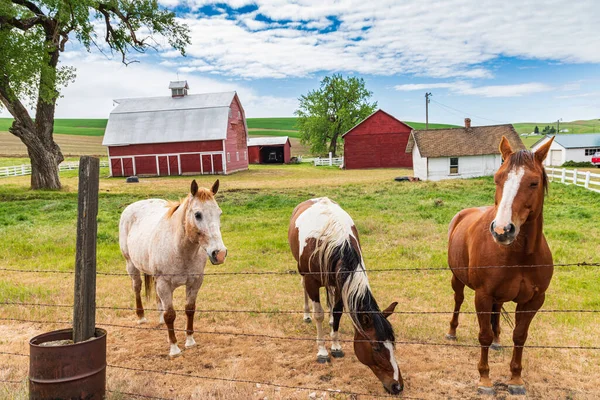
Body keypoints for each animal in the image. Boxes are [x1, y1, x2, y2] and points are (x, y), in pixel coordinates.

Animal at [119, 180, 227, 356]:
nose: (220, 253)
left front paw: (190, 341)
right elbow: (170, 315)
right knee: (137, 287)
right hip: (131, 265)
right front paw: (174, 348)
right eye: (198, 215)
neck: (180, 249)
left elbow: (189, 310)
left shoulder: (195, 282)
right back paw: (141, 317)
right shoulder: (165, 284)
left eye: (219, 213)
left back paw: (159, 319)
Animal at [290, 197, 404, 394]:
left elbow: (337, 313)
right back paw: (306, 315)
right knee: (303, 288)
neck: (335, 242)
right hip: (303, 273)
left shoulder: (340, 283)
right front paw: (322, 351)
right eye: (376, 347)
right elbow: (318, 314)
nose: (397, 385)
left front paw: (335, 346)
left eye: (393, 343)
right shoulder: (312, 281)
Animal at [448, 137, 556, 394]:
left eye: (533, 183)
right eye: (497, 179)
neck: (520, 256)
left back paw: (498, 341)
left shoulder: (533, 301)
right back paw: (452, 332)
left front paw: (516, 379)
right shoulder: (482, 296)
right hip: (457, 280)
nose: (502, 230)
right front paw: (485, 379)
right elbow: (483, 335)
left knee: (497, 313)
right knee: (458, 301)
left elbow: (520, 336)